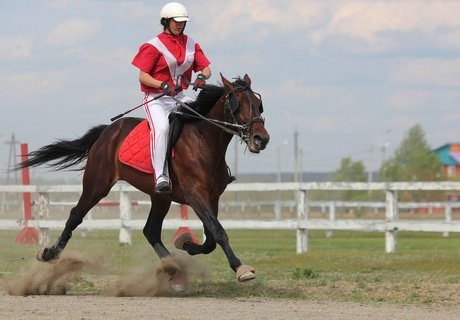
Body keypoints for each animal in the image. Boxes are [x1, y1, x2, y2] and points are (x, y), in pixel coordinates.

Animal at [18, 74, 270, 286]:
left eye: (258, 104)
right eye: (239, 104)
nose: (262, 138)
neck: (203, 141)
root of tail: (107, 131)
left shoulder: (212, 197)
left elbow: (210, 239)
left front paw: (186, 243)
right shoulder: (194, 194)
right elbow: (218, 232)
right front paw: (240, 268)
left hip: (160, 197)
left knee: (151, 231)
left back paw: (173, 268)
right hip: (97, 185)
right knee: (75, 215)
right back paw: (50, 253)